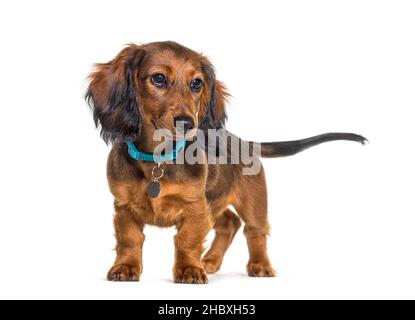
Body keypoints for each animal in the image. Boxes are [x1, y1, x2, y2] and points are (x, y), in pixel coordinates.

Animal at [85, 41, 368, 284]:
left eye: (196, 83)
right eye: (158, 78)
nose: (187, 123)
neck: (158, 160)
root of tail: (245, 142)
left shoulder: (195, 205)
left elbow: (186, 239)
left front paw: (189, 269)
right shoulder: (124, 206)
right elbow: (129, 239)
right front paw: (125, 267)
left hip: (252, 203)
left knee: (254, 231)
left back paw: (258, 265)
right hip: (214, 201)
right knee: (230, 223)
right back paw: (209, 260)